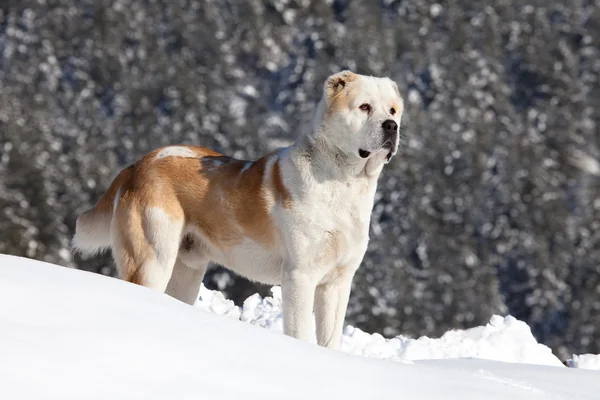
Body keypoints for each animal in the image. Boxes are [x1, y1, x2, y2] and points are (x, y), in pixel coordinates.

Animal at [72, 72, 406, 350]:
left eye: (392, 111)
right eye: (364, 107)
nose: (392, 127)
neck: (344, 181)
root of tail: (137, 164)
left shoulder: (337, 282)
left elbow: (329, 338)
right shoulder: (300, 276)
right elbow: (300, 332)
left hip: (186, 272)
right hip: (152, 259)